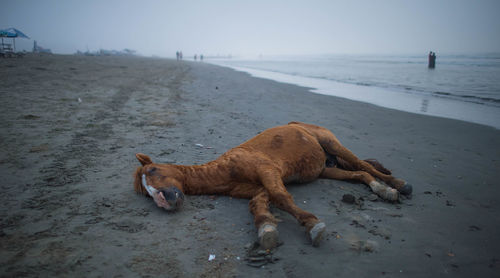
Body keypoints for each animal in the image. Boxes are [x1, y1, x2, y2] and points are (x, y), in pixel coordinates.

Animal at [132, 122, 410, 249]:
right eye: (146, 194)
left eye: (152, 170)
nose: (163, 200)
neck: (225, 171)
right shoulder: (258, 188)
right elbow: (260, 204)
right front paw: (266, 227)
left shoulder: (268, 171)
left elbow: (282, 197)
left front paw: (312, 225)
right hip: (325, 169)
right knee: (359, 174)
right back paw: (383, 190)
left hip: (330, 142)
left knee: (363, 165)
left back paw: (396, 186)